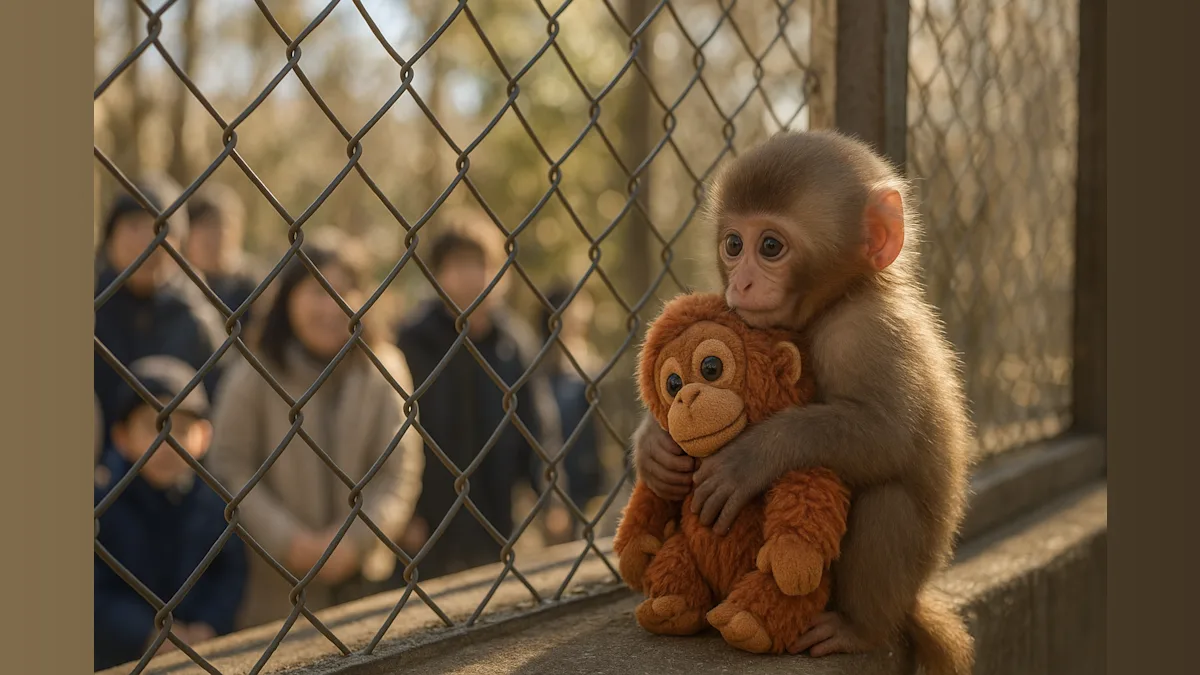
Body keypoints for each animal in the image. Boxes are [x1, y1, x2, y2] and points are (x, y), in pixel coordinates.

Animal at [630, 130, 974, 675]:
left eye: (770, 246)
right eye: (733, 244)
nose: (740, 282)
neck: (840, 297)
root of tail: (912, 603)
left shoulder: (863, 334)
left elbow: (888, 436)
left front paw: (747, 460)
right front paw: (654, 446)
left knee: (888, 499)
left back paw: (857, 628)